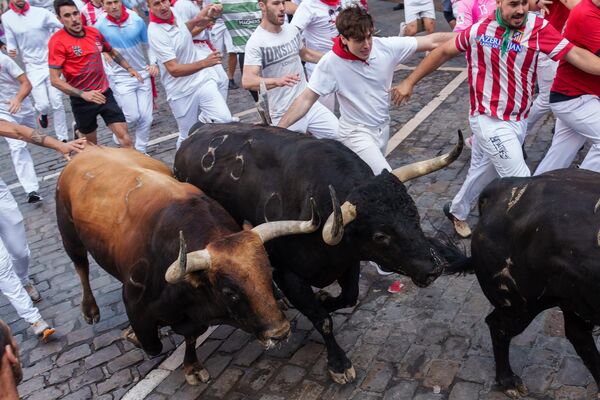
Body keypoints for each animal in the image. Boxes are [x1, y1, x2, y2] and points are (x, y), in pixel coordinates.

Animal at [56, 147, 318, 384]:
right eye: (229, 292)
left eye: (269, 275)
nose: (280, 332)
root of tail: (85, 151)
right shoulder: (134, 304)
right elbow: (152, 345)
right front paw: (132, 335)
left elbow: (192, 336)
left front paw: (192, 366)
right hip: (69, 235)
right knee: (81, 266)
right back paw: (90, 309)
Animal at [173, 122, 464, 384]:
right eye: (380, 236)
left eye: (414, 213)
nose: (434, 267)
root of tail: (194, 133)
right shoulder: (289, 274)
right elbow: (323, 321)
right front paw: (338, 363)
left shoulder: (348, 262)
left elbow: (349, 297)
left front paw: (324, 299)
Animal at [448, 170, 600, 400]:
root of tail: (506, 186)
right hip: (521, 305)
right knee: (498, 326)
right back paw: (508, 382)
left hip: (574, 302)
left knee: (579, 337)